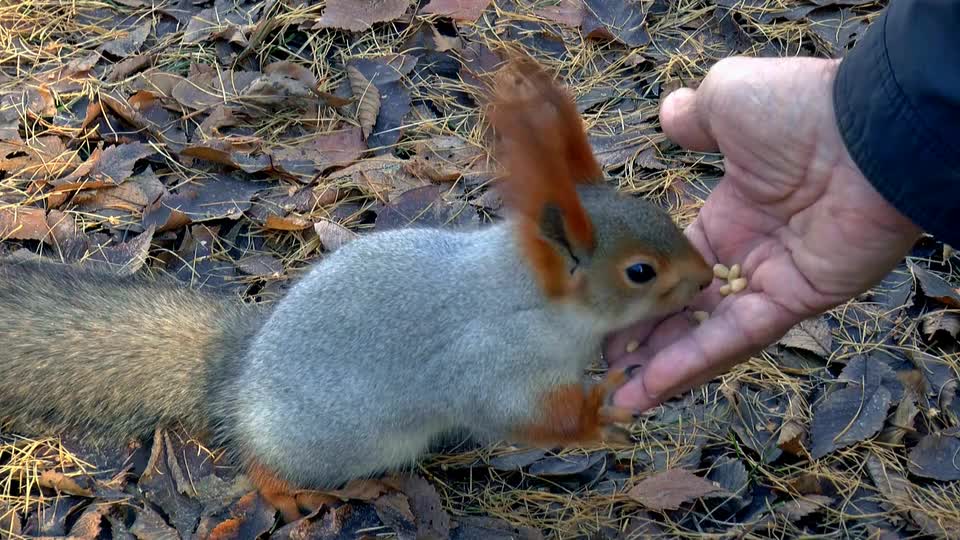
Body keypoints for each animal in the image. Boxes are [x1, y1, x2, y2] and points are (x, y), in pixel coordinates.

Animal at [0, 56, 712, 524]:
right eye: (640, 271)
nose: (707, 279)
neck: (532, 299)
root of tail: (237, 377)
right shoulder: (488, 361)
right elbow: (514, 415)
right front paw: (599, 416)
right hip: (328, 441)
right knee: (263, 464)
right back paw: (292, 492)